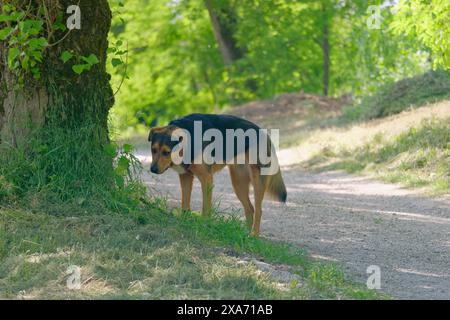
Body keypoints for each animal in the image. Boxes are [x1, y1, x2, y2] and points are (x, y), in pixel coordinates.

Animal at [149, 114, 288, 236]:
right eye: (153, 150)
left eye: (166, 152)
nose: (153, 169)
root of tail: (265, 134)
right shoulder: (185, 177)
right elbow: (185, 203)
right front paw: (185, 220)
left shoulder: (206, 179)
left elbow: (206, 207)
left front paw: (204, 224)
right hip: (238, 184)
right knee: (250, 208)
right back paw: (244, 235)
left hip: (257, 182)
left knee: (259, 210)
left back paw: (254, 235)